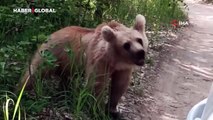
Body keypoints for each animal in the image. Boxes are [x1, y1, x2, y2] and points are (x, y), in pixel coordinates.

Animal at [17, 14, 148, 118]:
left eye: (139, 40)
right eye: (126, 45)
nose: (140, 52)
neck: (115, 59)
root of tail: (53, 32)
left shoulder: (123, 68)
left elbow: (119, 85)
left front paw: (113, 110)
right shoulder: (99, 60)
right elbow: (96, 84)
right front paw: (98, 110)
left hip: (68, 62)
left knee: (65, 77)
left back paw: (64, 92)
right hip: (52, 53)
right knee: (35, 71)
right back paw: (21, 90)